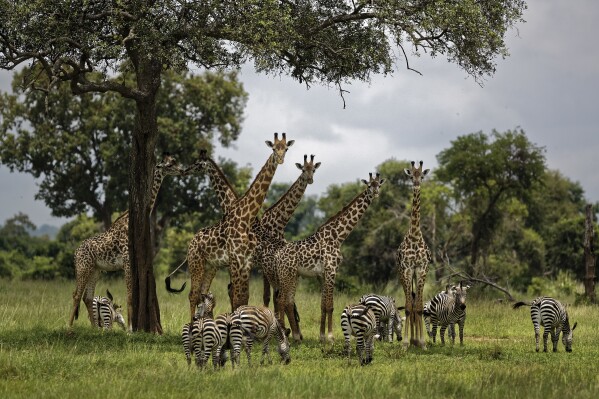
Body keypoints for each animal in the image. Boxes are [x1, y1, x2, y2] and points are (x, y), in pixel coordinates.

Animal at [68, 153, 185, 332]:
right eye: (170, 164)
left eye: (175, 161)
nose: (182, 170)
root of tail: (75, 253)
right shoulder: (127, 261)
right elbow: (129, 296)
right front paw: (130, 329)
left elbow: (130, 296)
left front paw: (131, 328)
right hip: (83, 267)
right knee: (76, 295)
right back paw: (68, 328)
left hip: (96, 270)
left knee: (87, 297)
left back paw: (95, 328)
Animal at [166, 133, 296, 320]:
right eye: (273, 148)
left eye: (285, 148)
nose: (185, 170)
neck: (243, 215)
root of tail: (191, 242)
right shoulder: (235, 261)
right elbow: (237, 296)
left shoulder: (243, 262)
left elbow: (240, 297)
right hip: (199, 263)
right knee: (194, 294)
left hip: (217, 266)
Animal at [272, 173, 384, 342]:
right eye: (369, 185)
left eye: (379, 185)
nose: (376, 193)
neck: (338, 236)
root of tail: (277, 255)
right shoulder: (331, 270)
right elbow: (330, 305)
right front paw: (331, 337)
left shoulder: (323, 274)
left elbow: (323, 305)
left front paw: (322, 336)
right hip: (286, 275)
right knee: (281, 300)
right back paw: (285, 334)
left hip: (293, 276)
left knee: (288, 302)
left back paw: (296, 336)